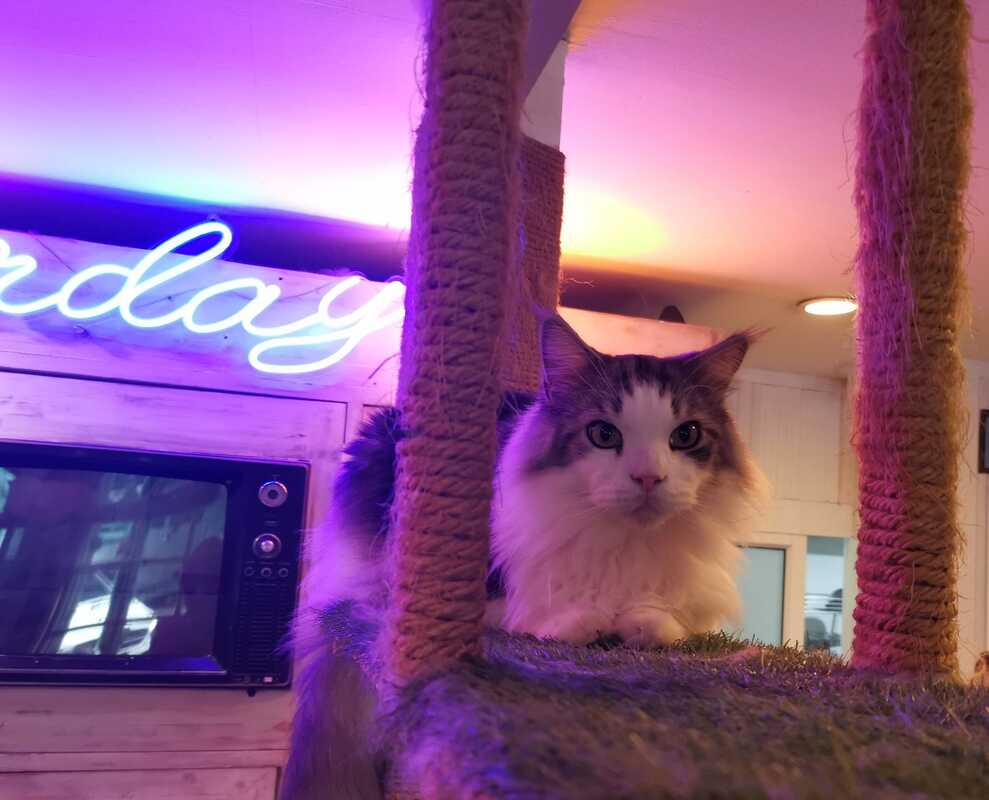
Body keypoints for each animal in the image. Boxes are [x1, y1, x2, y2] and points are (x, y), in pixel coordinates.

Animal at [280, 313, 767, 799]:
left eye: (685, 435)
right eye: (603, 434)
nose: (648, 477)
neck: (621, 542)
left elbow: (663, 620)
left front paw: (640, 622)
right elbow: (535, 612)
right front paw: (585, 620)